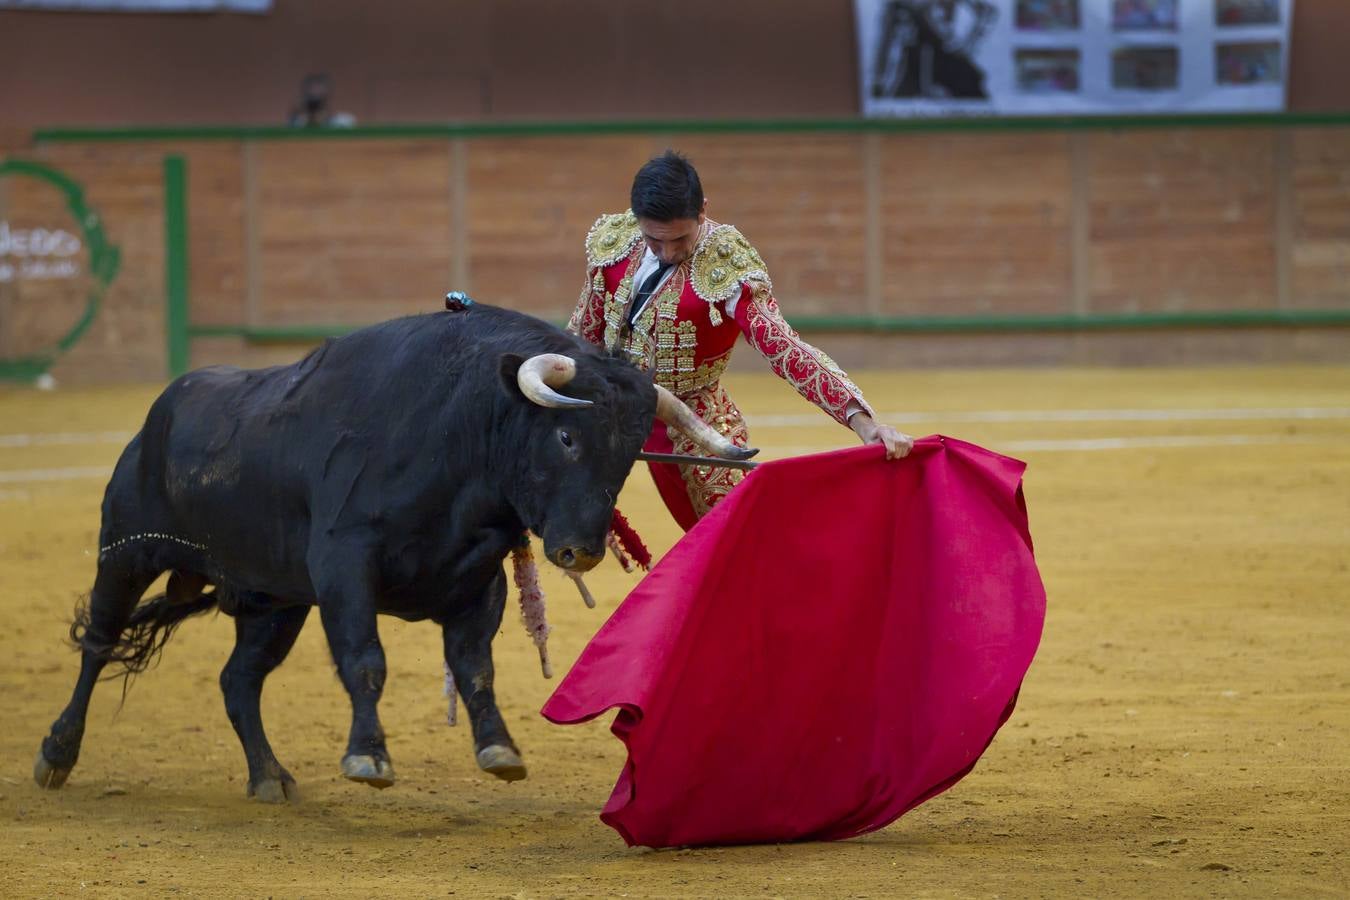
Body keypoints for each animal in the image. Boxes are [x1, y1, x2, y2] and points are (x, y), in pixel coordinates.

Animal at [34, 304, 750, 804]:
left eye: (628, 456)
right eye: (568, 437)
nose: (581, 551)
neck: (457, 435)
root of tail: (157, 418)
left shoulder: (477, 582)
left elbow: (475, 668)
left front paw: (499, 749)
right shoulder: (345, 569)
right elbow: (365, 660)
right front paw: (368, 759)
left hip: (274, 599)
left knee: (238, 680)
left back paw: (269, 777)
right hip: (125, 555)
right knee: (99, 644)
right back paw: (56, 754)